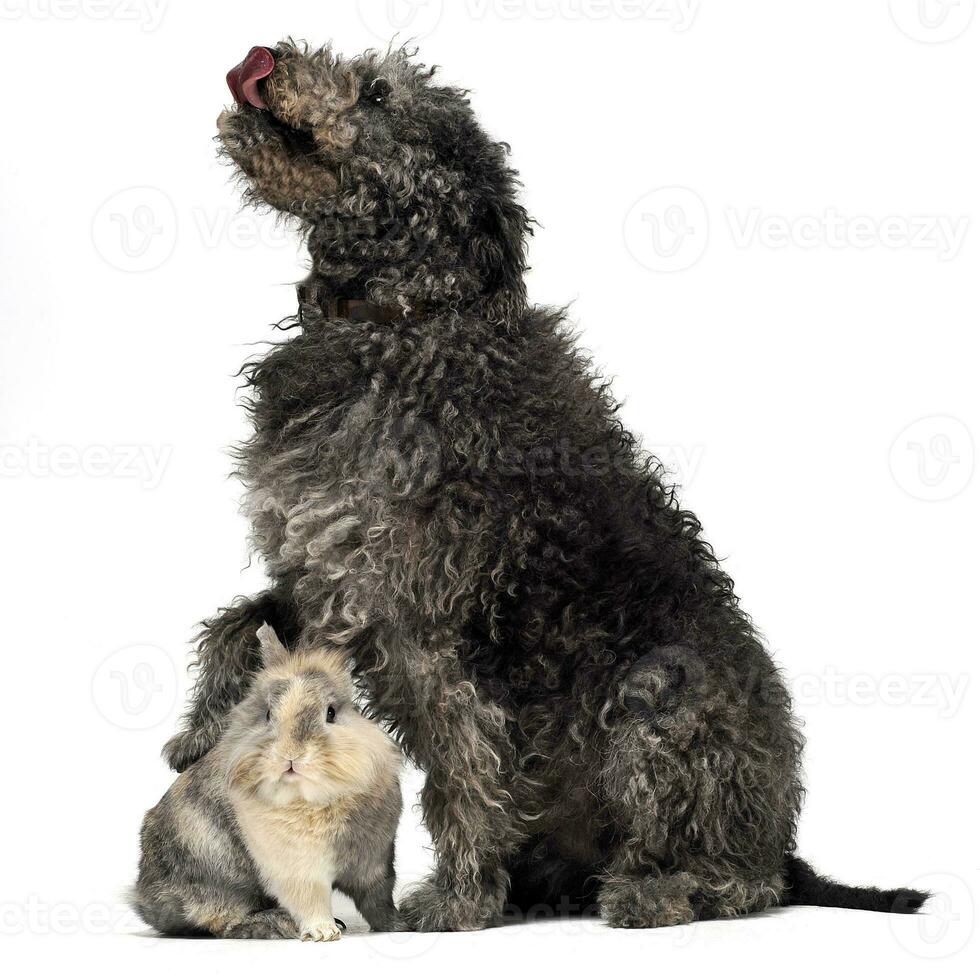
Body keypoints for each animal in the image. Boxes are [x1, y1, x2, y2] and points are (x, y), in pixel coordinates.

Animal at [133, 624, 402, 936]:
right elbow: (310, 901)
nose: (291, 755)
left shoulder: (374, 865)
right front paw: (323, 932)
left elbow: (378, 902)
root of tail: (142, 898)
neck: (317, 797)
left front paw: (399, 925)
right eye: (269, 714)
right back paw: (273, 923)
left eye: (331, 713)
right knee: (222, 918)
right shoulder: (297, 869)